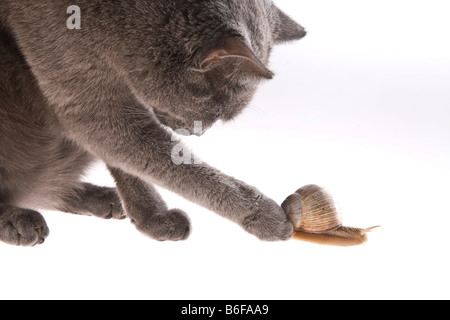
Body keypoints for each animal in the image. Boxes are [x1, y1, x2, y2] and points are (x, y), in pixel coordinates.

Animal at [0, 0, 306, 248]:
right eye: (215, 113)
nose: (198, 132)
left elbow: (131, 164)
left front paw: (154, 218)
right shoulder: (90, 104)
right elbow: (173, 165)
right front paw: (264, 215)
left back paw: (99, 198)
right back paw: (17, 221)